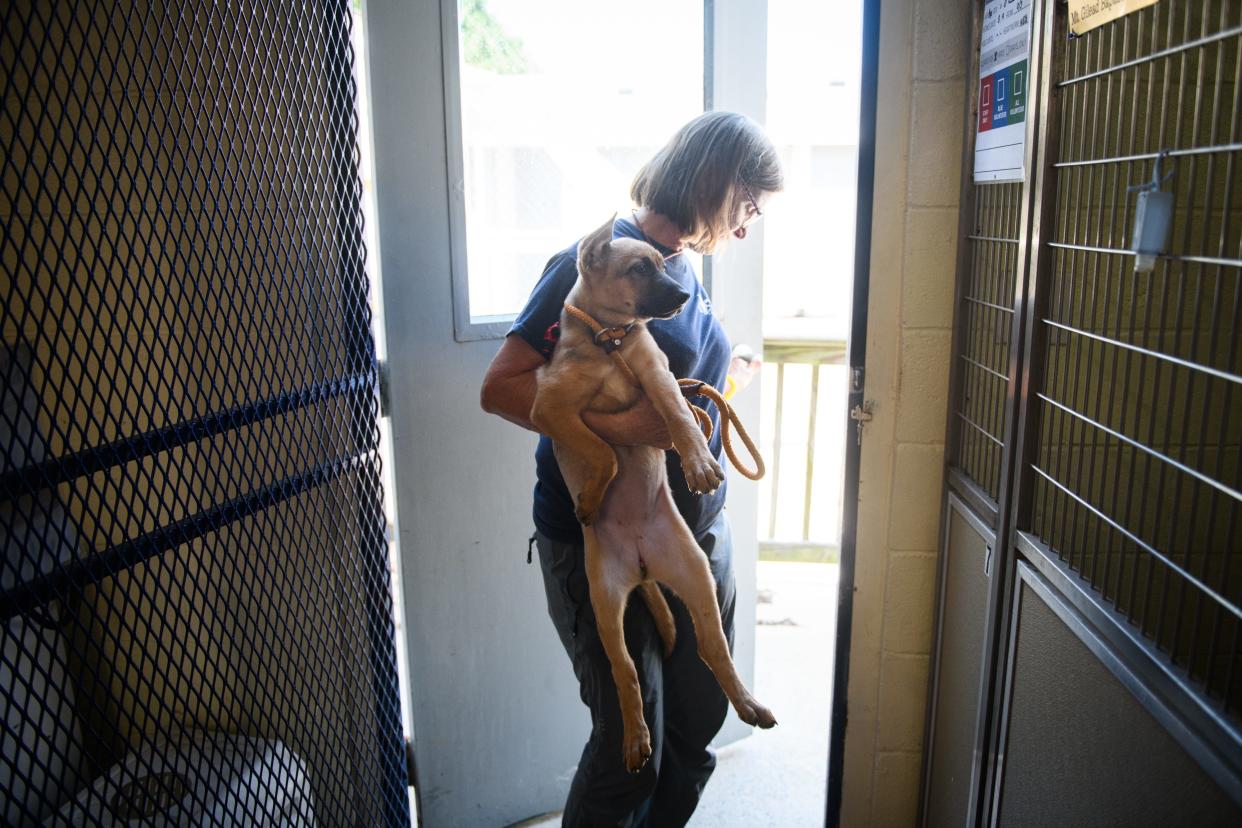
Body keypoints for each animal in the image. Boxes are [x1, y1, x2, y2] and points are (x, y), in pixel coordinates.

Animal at [531, 217, 775, 774]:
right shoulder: (550, 407)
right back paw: (636, 740)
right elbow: (603, 450)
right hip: (604, 606)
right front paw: (591, 498)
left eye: (663, 265)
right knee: (626, 673)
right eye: (639, 269)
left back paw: (749, 705)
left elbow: (681, 415)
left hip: (698, 577)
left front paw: (700, 463)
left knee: (713, 650)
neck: (610, 340)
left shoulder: (659, 375)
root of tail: (644, 567)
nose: (683, 296)